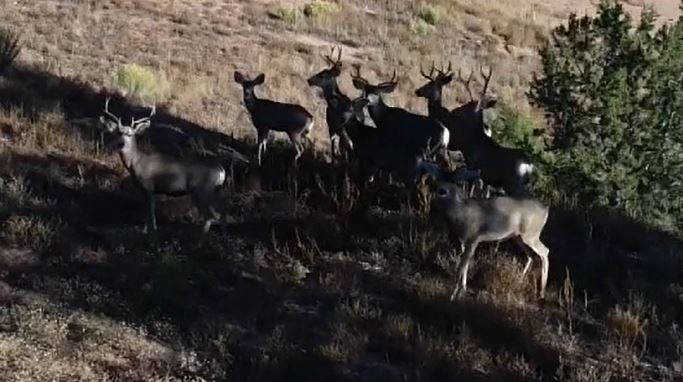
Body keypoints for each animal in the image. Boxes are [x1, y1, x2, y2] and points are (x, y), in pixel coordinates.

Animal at [97, 97, 250, 233]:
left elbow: (149, 211)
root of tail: (221, 171)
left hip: (202, 190)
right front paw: (151, 229)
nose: (121, 143)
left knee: (210, 215)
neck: (136, 162)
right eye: (118, 132)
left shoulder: (149, 186)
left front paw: (148, 230)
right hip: (215, 191)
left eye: (131, 134)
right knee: (222, 212)